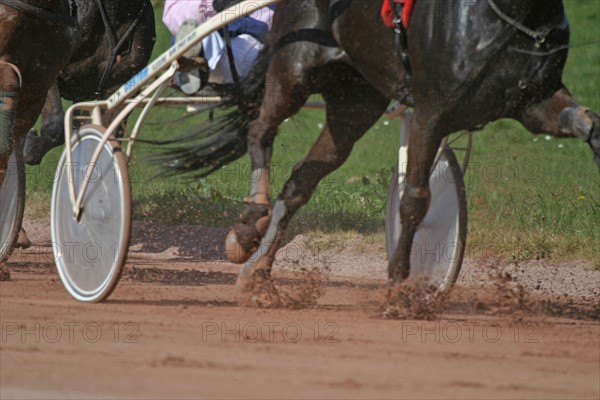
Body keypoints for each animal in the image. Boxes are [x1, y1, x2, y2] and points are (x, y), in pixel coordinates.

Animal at [161, 0, 600, 292]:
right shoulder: (431, 113)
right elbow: (415, 199)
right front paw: (400, 287)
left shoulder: (537, 102)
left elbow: (587, 123)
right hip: (294, 68)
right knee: (259, 132)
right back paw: (249, 223)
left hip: (354, 100)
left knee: (302, 180)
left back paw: (258, 266)